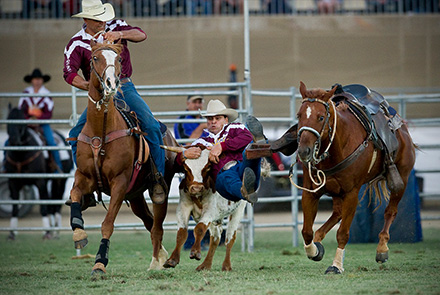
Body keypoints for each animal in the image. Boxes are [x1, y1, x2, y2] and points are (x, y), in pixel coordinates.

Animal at [68, 42, 178, 276]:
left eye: (118, 59)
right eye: (94, 58)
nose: (111, 83)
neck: (100, 131)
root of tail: (169, 136)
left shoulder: (119, 182)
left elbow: (108, 223)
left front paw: (99, 263)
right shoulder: (84, 177)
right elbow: (74, 195)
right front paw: (79, 234)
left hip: (160, 189)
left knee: (157, 225)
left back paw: (156, 262)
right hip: (135, 195)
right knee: (149, 222)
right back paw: (160, 256)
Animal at [248, 81, 416, 276]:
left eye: (321, 117)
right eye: (299, 115)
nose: (304, 151)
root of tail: (402, 128)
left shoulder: (351, 193)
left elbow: (342, 233)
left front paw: (336, 265)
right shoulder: (310, 193)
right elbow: (306, 231)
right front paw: (314, 251)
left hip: (402, 177)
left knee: (390, 211)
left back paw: (382, 248)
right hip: (336, 191)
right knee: (337, 213)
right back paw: (319, 239)